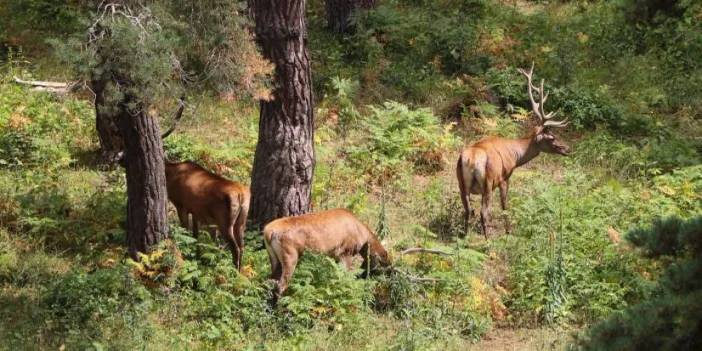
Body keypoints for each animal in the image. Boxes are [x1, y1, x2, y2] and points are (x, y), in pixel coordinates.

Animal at [266, 209, 396, 302]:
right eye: (384, 266)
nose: (391, 275)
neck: (363, 236)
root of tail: (268, 232)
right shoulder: (345, 252)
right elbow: (344, 277)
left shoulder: (335, 256)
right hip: (290, 256)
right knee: (280, 286)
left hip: (274, 258)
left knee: (270, 281)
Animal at [456, 64, 572, 239]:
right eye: (552, 138)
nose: (567, 149)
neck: (515, 155)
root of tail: (471, 159)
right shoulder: (504, 177)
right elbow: (505, 206)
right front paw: (509, 231)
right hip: (488, 181)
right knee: (483, 212)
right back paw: (488, 240)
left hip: (461, 183)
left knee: (468, 210)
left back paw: (465, 237)